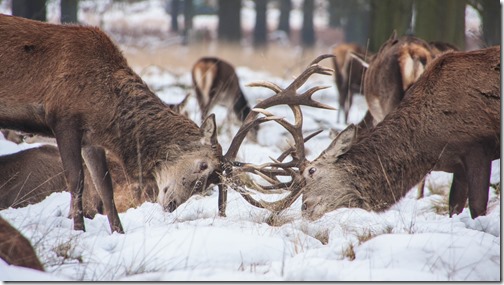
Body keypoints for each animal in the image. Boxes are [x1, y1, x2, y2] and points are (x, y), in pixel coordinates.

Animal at [0, 13, 220, 233]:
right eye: (203, 165)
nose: (172, 205)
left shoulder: (91, 138)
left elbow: (104, 187)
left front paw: (118, 231)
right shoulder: (64, 120)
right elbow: (75, 181)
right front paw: (79, 230)